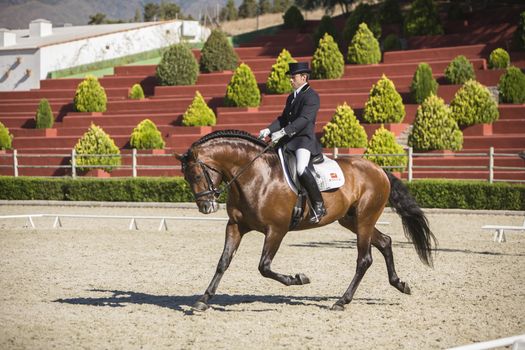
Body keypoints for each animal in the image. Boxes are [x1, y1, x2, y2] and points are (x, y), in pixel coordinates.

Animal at [174, 129, 436, 312]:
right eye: (186, 177)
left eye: (196, 175)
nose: (205, 207)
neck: (255, 176)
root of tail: (379, 169)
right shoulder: (236, 226)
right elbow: (223, 262)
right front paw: (203, 299)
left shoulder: (276, 230)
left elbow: (264, 267)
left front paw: (299, 279)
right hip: (352, 220)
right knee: (385, 242)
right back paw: (400, 284)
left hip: (364, 219)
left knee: (365, 259)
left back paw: (342, 301)